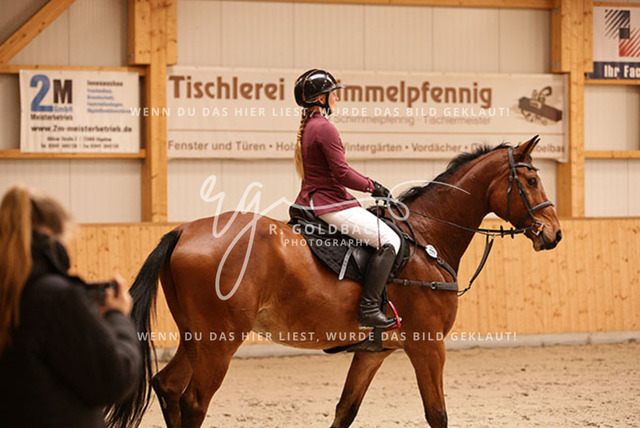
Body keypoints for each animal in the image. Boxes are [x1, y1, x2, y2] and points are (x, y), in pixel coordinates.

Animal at [107, 136, 562, 428]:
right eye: (532, 181)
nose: (554, 234)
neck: (428, 238)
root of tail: (183, 230)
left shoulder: (374, 352)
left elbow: (346, 410)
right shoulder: (428, 346)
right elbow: (438, 415)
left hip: (196, 337)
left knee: (168, 387)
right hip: (221, 341)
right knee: (194, 400)